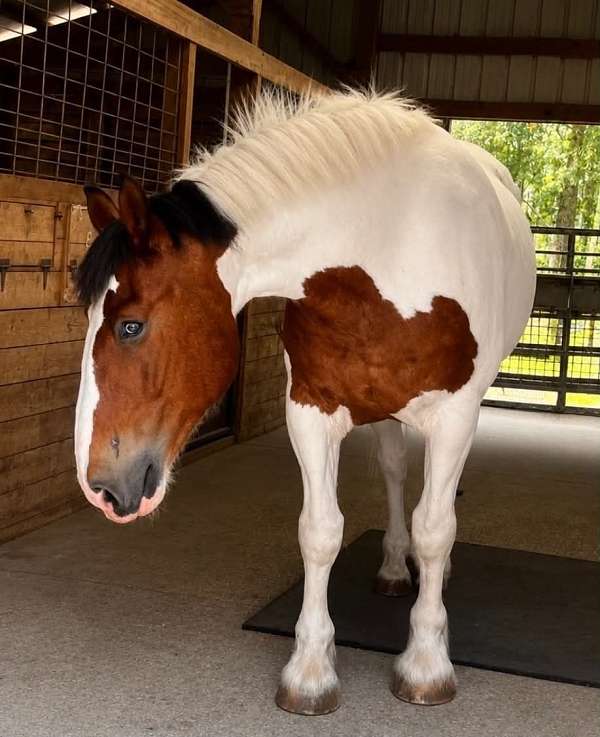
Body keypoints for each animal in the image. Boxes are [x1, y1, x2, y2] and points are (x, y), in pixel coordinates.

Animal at [74, 88, 536, 715]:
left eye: (130, 326)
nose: (99, 486)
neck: (391, 245)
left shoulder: (454, 415)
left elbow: (436, 527)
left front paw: (426, 665)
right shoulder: (311, 411)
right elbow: (320, 532)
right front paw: (311, 672)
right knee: (394, 471)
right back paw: (394, 566)